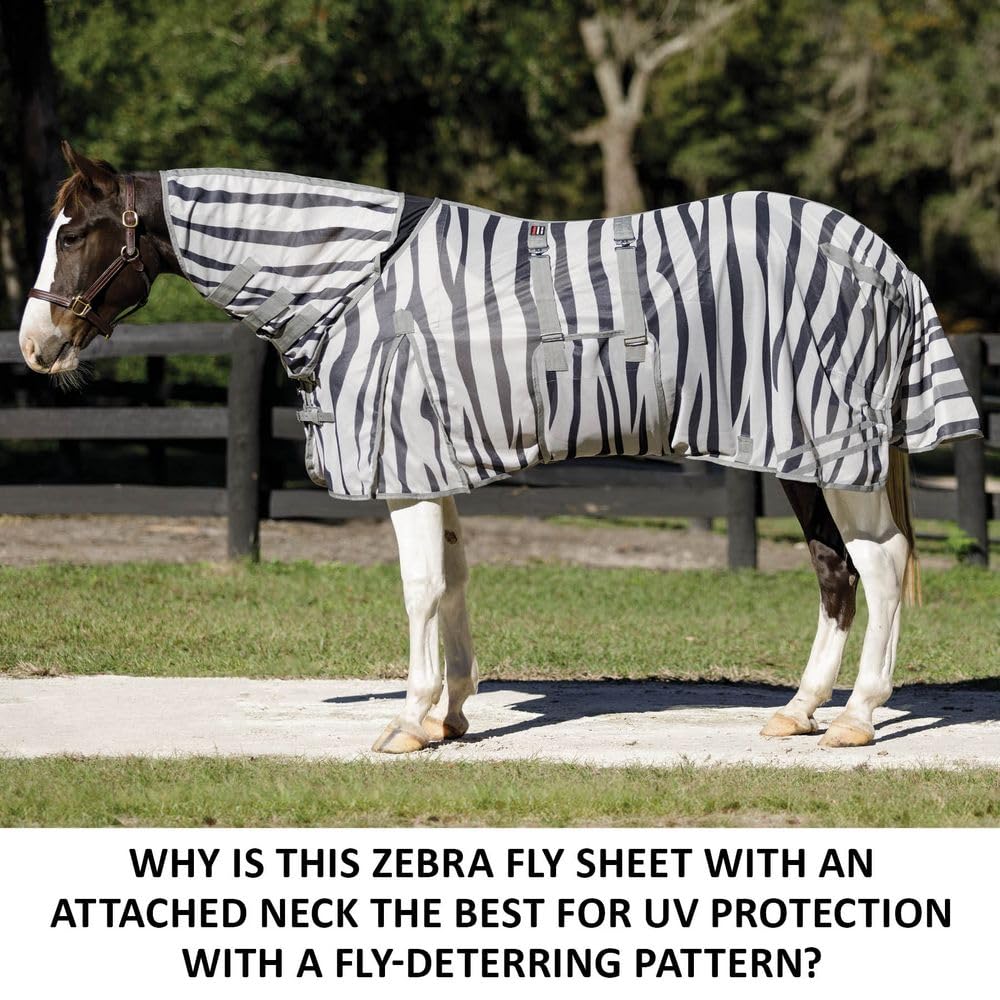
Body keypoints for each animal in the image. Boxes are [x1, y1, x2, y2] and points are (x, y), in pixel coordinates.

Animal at [19, 142, 980, 754]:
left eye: (75, 233)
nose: (35, 346)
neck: (356, 284)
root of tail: (880, 257)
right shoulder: (432, 463)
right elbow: (451, 582)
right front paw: (449, 717)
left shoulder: (404, 466)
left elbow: (418, 590)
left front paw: (409, 723)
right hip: (800, 458)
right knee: (836, 572)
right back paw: (802, 710)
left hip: (833, 452)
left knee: (881, 566)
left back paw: (856, 718)